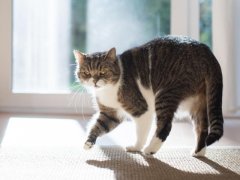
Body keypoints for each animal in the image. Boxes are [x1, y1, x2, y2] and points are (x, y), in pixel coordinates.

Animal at [73, 35, 223, 156]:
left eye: (103, 72)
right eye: (87, 73)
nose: (94, 81)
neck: (107, 90)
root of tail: (205, 50)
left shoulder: (142, 110)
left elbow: (141, 133)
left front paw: (136, 147)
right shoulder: (110, 113)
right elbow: (97, 126)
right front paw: (88, 142)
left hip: (165, 94)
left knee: (166, 126)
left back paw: (150, 149)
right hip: (197, 102)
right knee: (202, 128)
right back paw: (198, 152)